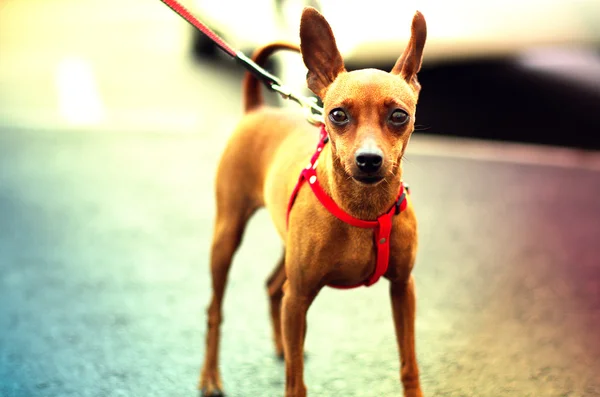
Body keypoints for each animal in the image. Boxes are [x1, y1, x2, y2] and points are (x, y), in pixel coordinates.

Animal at [200, 6, 426, 396]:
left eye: (399, 115)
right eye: (338, 114)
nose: (369, 160)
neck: (363, 210)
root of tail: (256, 110)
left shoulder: (402, 288)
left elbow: (408, 364)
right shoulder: (299, 298)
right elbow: (296, 382)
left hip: (287, 245)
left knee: (273, 286)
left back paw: (279, 347)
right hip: (226, 237)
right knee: (215, 310)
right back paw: (210, 376)